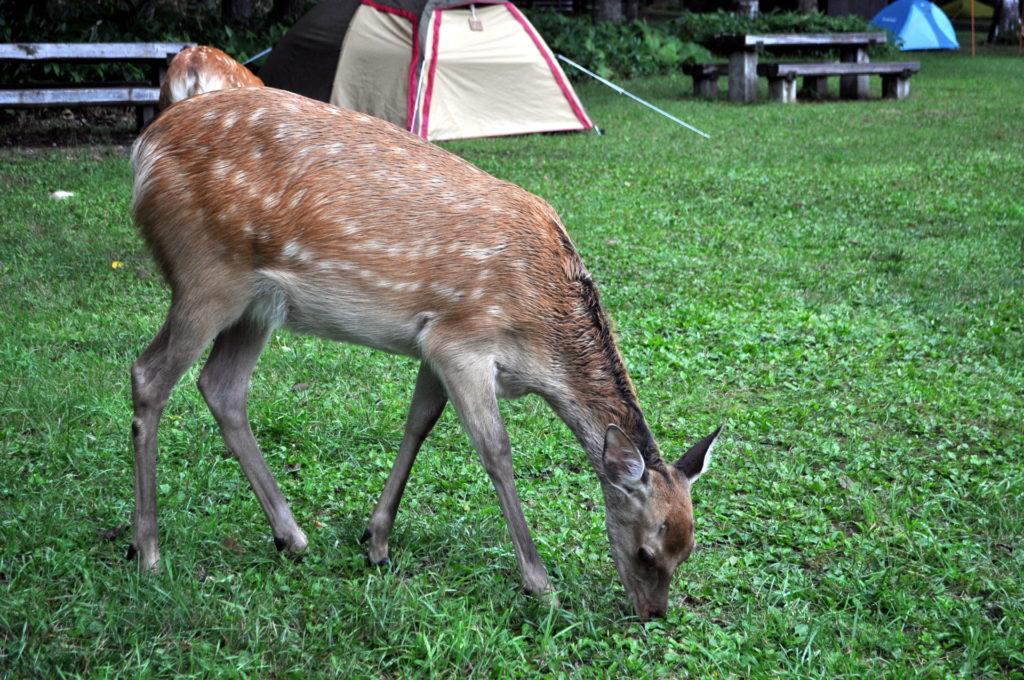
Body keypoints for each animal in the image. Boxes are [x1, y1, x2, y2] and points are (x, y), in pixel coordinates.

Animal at [128, 86, 720, 622]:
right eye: (646, 551)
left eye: (687, 552)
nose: (653, 613)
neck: (541, 341)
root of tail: (143, 150)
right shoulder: (462, 340)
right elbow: (496, 452)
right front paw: (541, 584)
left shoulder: (434, 342)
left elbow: (418, 424)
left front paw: (375, 540)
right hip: (207, 275)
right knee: (148, 375)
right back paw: (149, 552)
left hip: (256, 307)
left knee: (222, 387)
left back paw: (290, 536)